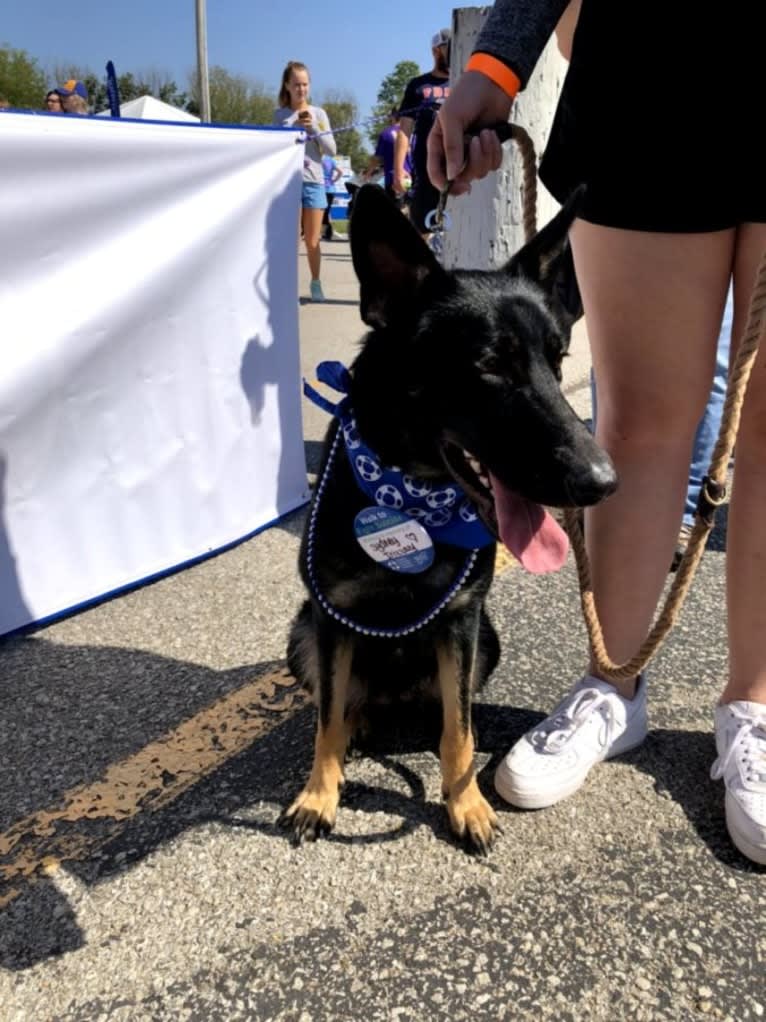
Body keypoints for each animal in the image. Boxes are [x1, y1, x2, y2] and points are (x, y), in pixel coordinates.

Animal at [281, 183, 616, 854]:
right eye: (490, 366)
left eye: (558, 359)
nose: (602, 482)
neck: (408, 495)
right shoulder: (331, 621)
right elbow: (325, 721)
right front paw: (319, 796)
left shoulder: (462, 622)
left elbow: (457, 732)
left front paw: (466, 803)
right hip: (302, 637)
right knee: (346, 704)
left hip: (485, 640)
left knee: (445, 711)